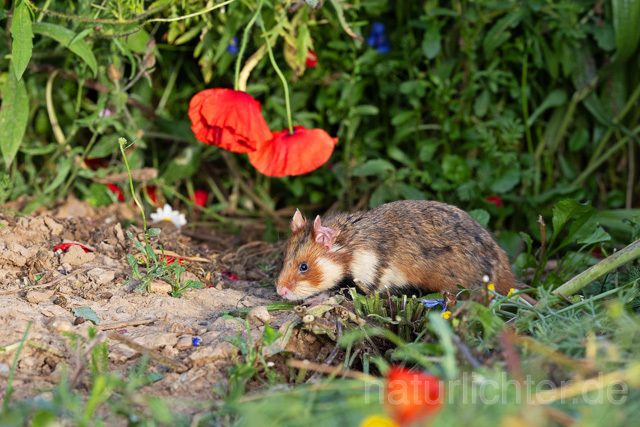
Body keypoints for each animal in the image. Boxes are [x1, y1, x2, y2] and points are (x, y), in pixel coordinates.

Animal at [276, 201, 524, 304]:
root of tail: (509, 278)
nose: (279, 292)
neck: (349, 245)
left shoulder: (370, 280)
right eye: (284, 257)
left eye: (304, 267)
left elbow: (343, 291)